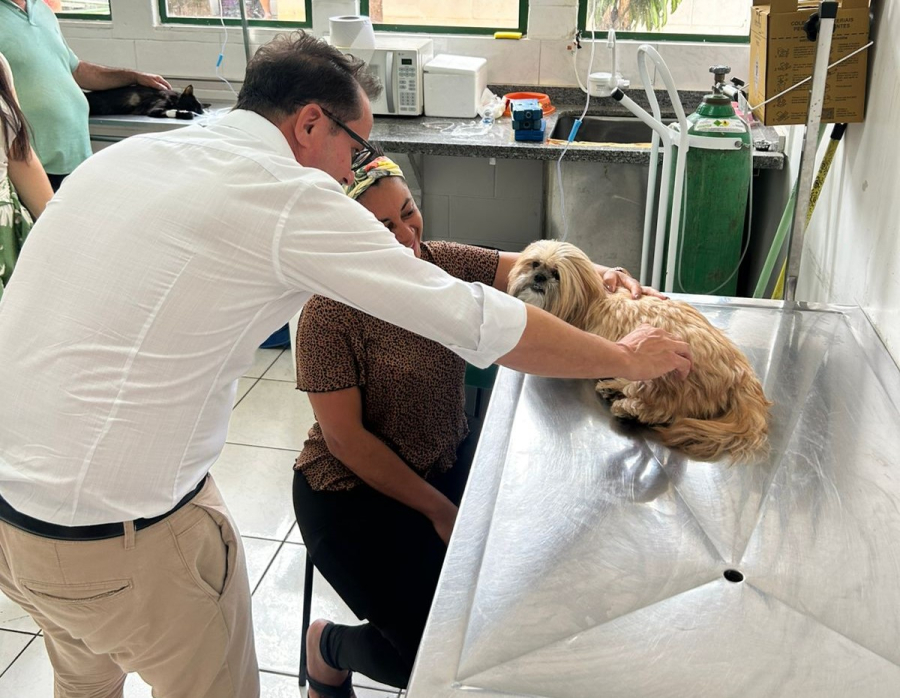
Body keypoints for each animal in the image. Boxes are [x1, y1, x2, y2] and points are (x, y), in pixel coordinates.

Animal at [510, 239, 768, 462]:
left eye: (557, 274)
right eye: (535, 264)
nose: (539, 277)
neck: (589, 303)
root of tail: (740, 376)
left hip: (668, 378)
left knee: (660, 409)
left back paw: (627, 406)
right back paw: (613, 387)